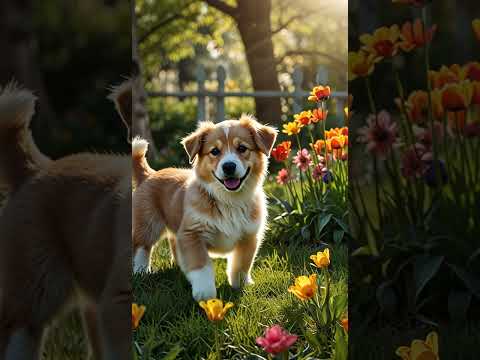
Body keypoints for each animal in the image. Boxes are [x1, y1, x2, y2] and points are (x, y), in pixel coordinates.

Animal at [133, 116, 280, 300]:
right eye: (215, 151)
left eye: (242, 148)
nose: (228, 166)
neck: (229, 200)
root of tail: (149, 174)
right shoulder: (192, 234)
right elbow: (200, 266)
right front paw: (205, 294)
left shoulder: (249, 236)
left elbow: (241, 264)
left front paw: (241, 285)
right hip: (147, 224)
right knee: (141, 247)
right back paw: (140, 272)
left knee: (173, 244)